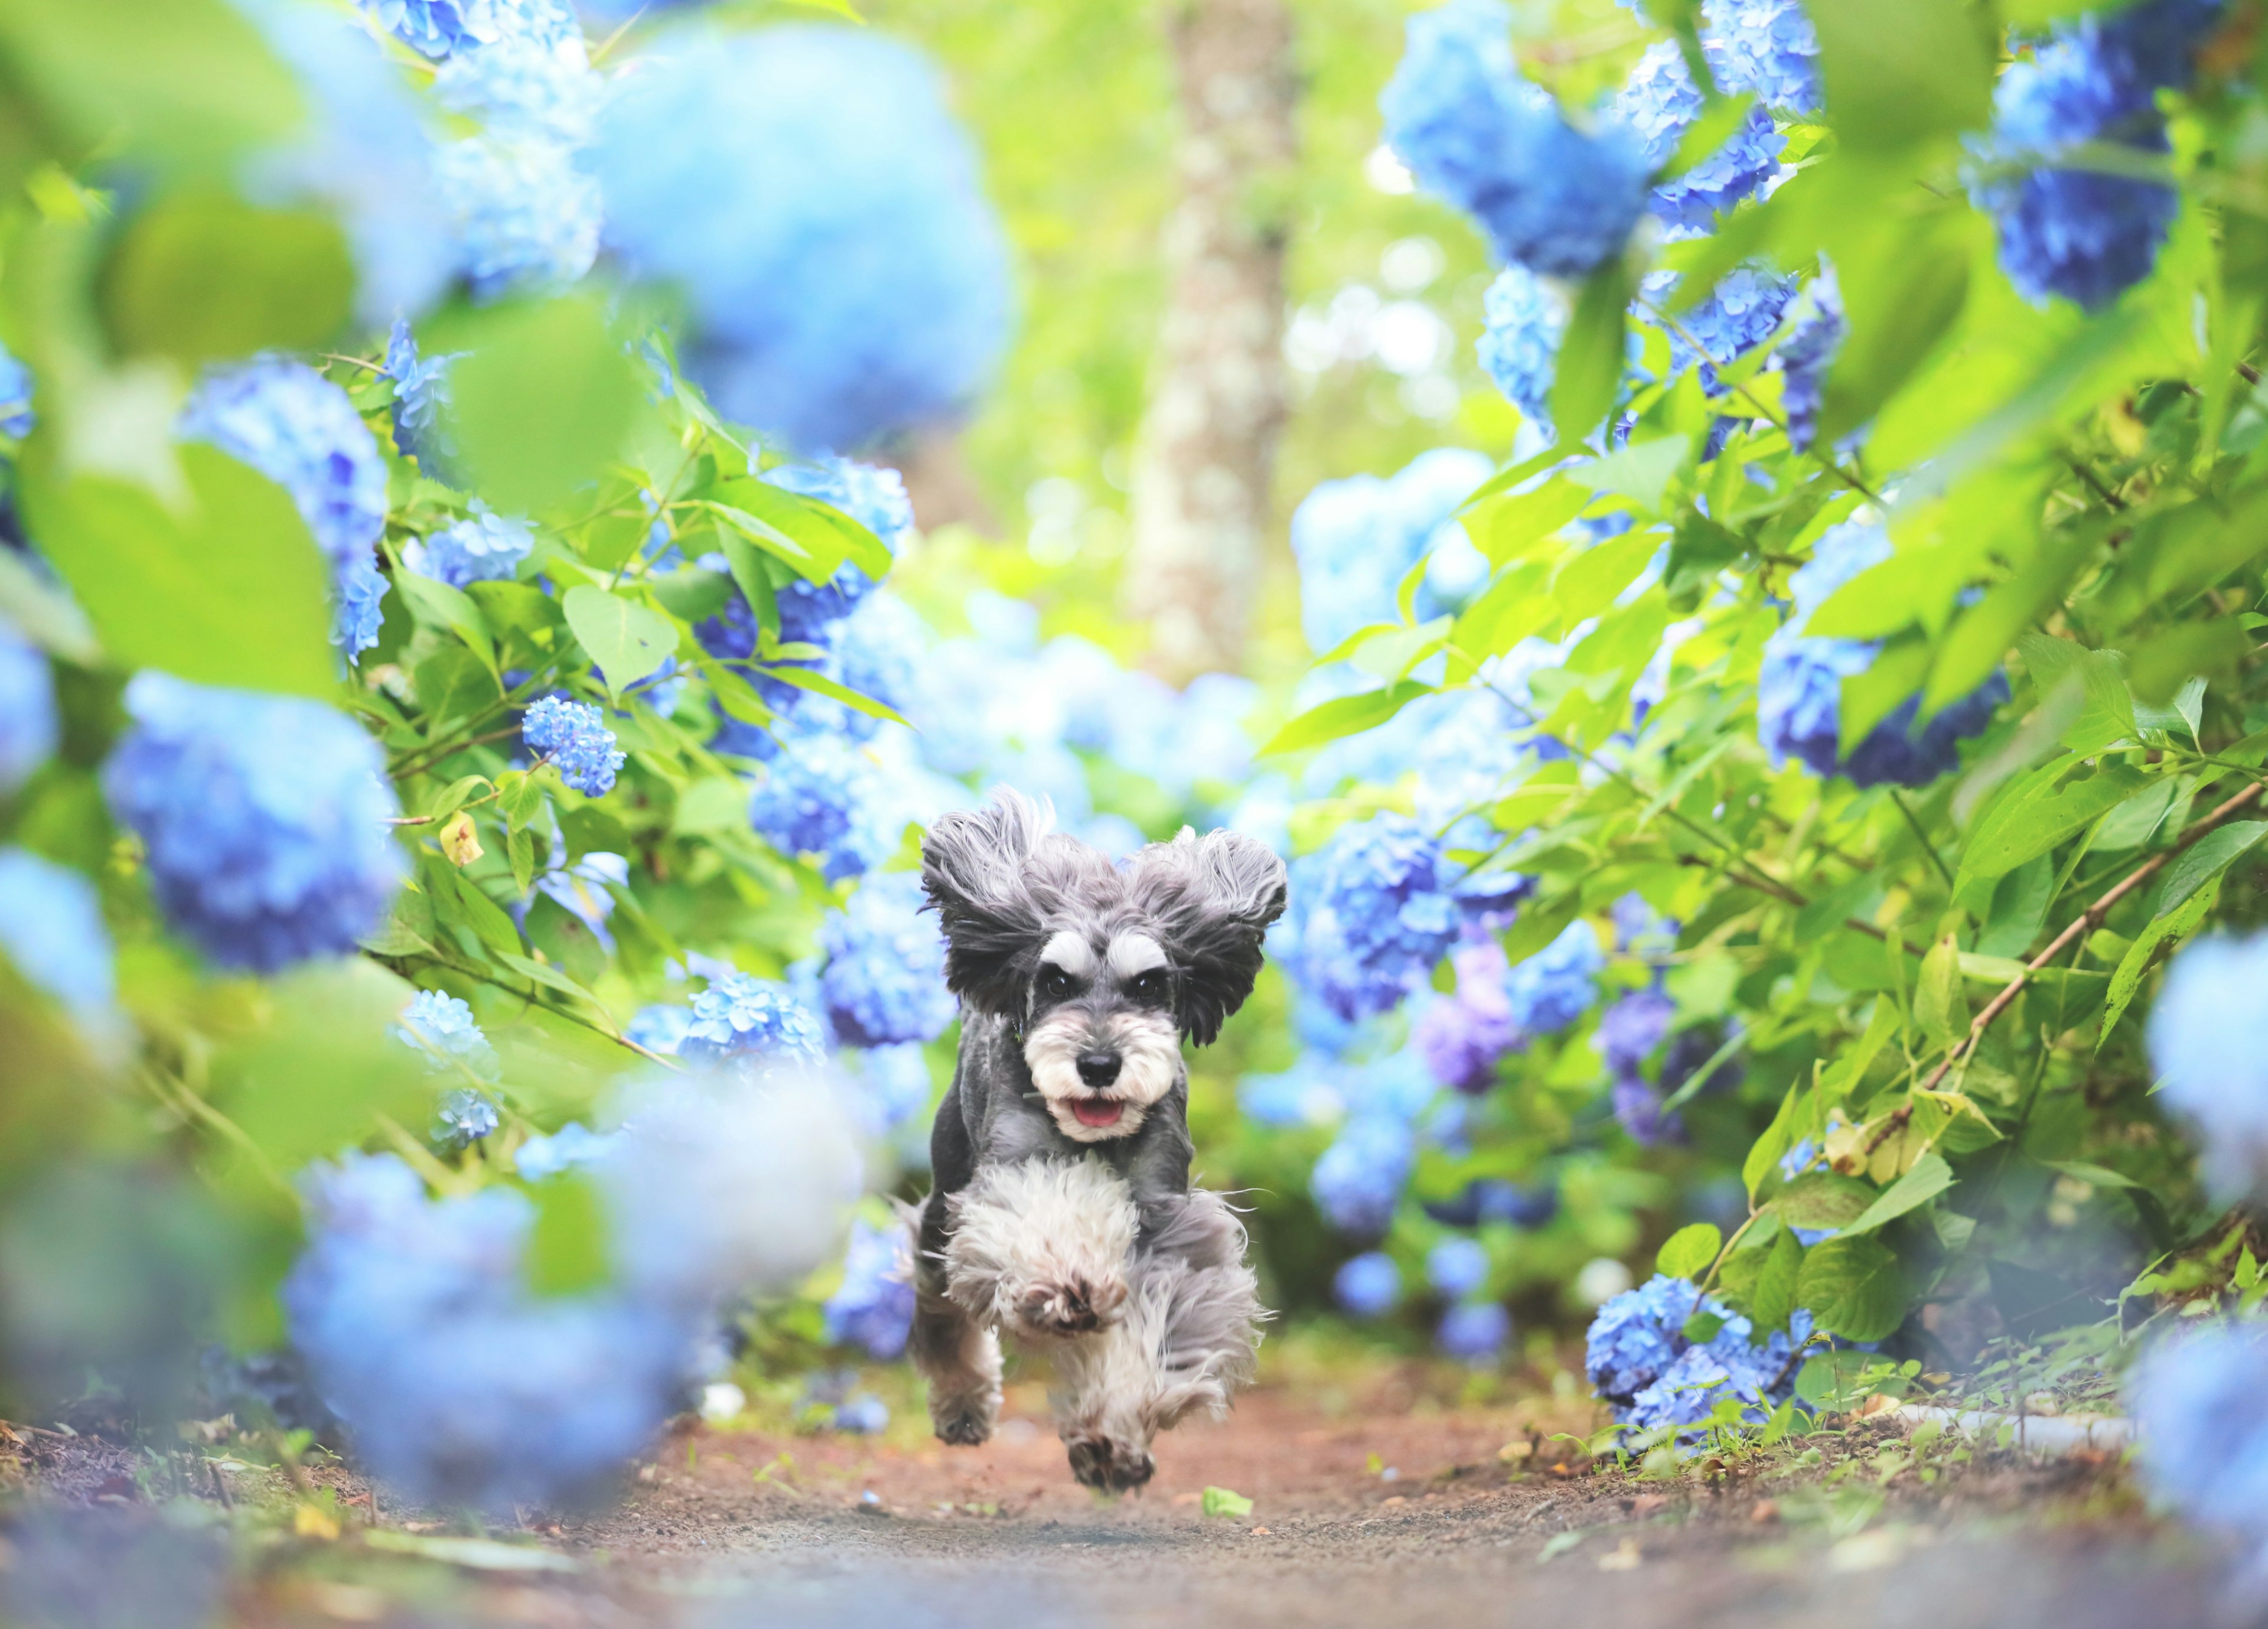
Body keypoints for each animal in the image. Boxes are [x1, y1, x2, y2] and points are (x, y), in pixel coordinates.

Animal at [907, 789, 1297, 1497]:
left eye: (1148, 985)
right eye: (1057, 981)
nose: (1097, 1063)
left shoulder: (1169, 1227)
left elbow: (1154, 1332)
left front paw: (1113, 1436)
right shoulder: (1015, 1174)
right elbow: (1044, 1228)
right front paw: (1066, 1280)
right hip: (943, 1203)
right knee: (940, 1306)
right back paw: (963, 1403)